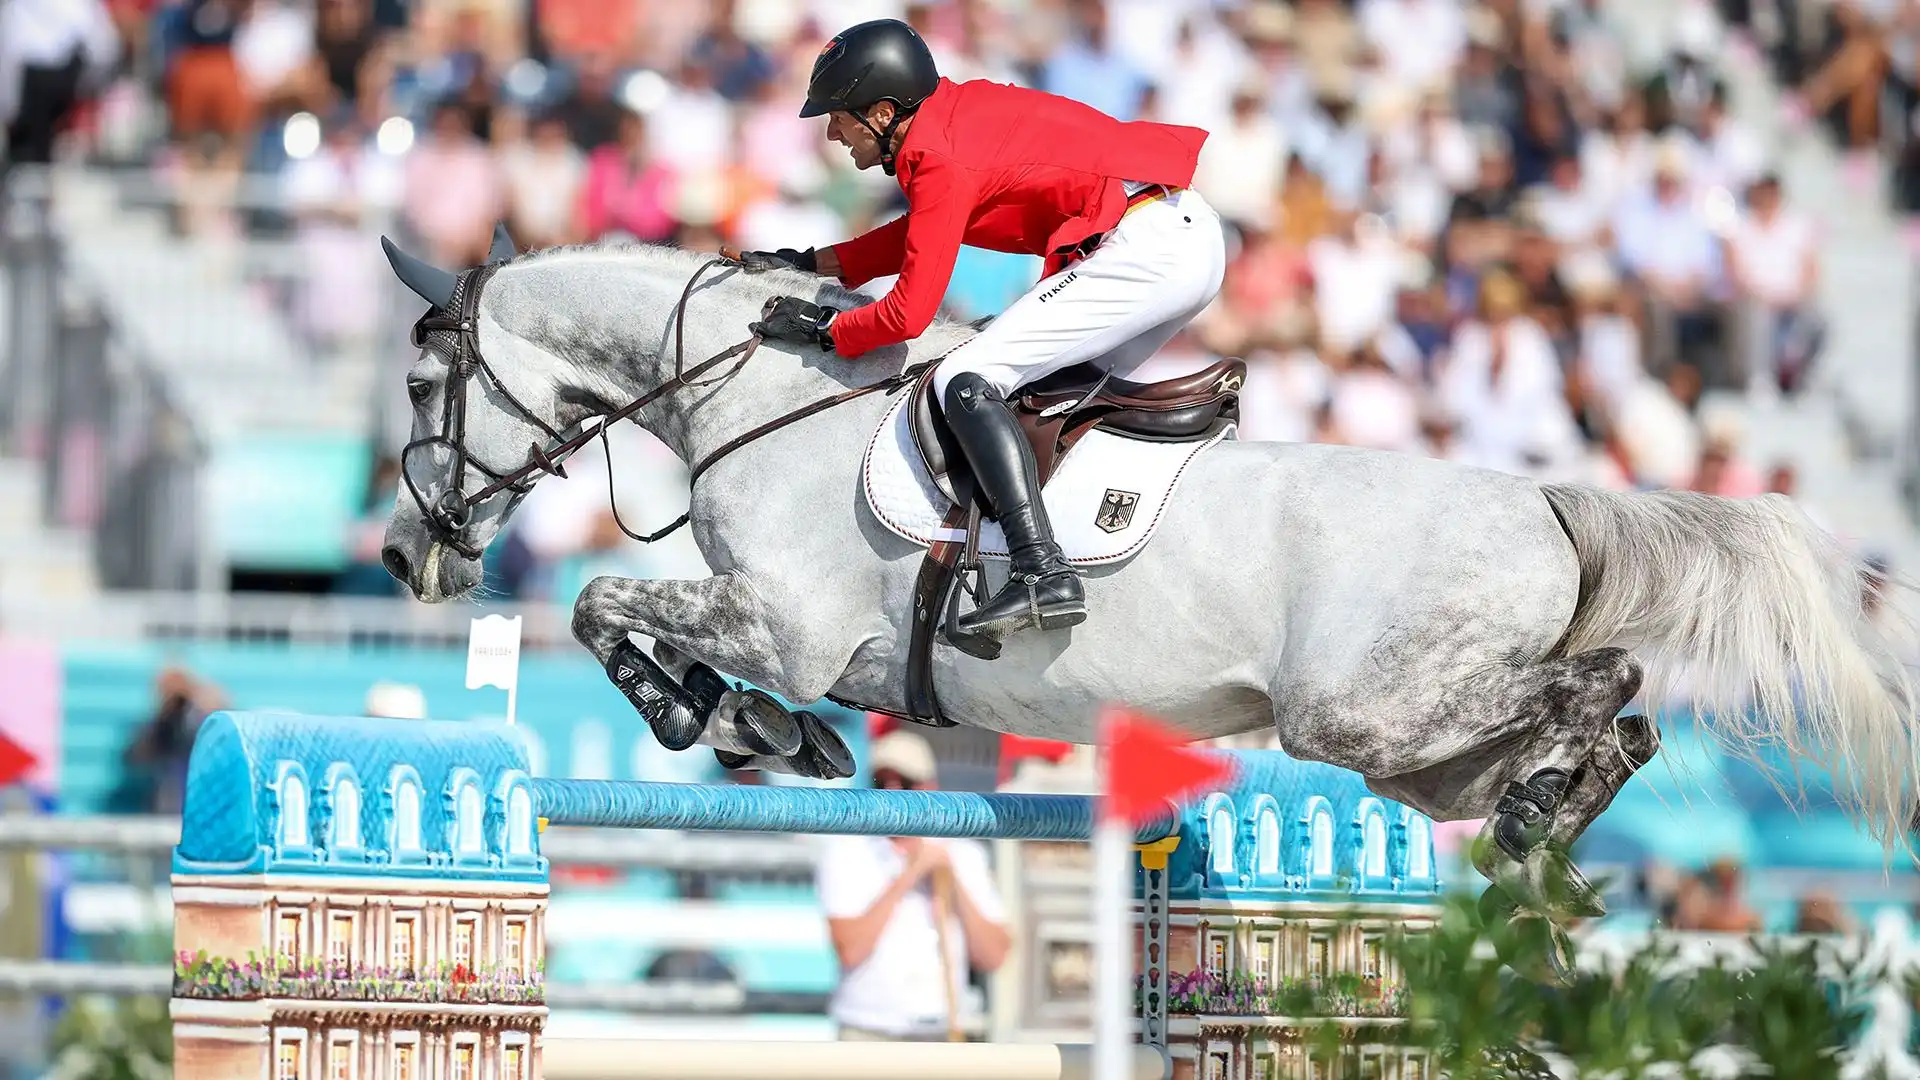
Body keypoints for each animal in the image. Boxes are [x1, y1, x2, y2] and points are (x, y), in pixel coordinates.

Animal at [378, 233, 1920, 976]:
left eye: (420, 383)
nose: (405, 560)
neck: (752, 394)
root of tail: (1546, 497)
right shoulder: (806, 638)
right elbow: (630, 616)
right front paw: (769, 734)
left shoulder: (783, 622)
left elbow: (603, 604)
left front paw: (732, 724)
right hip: (1419, 757)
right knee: (1600, 730)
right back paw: (1543, 837)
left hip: (1366, 714)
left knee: (1603, 692)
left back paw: (1547, 826)